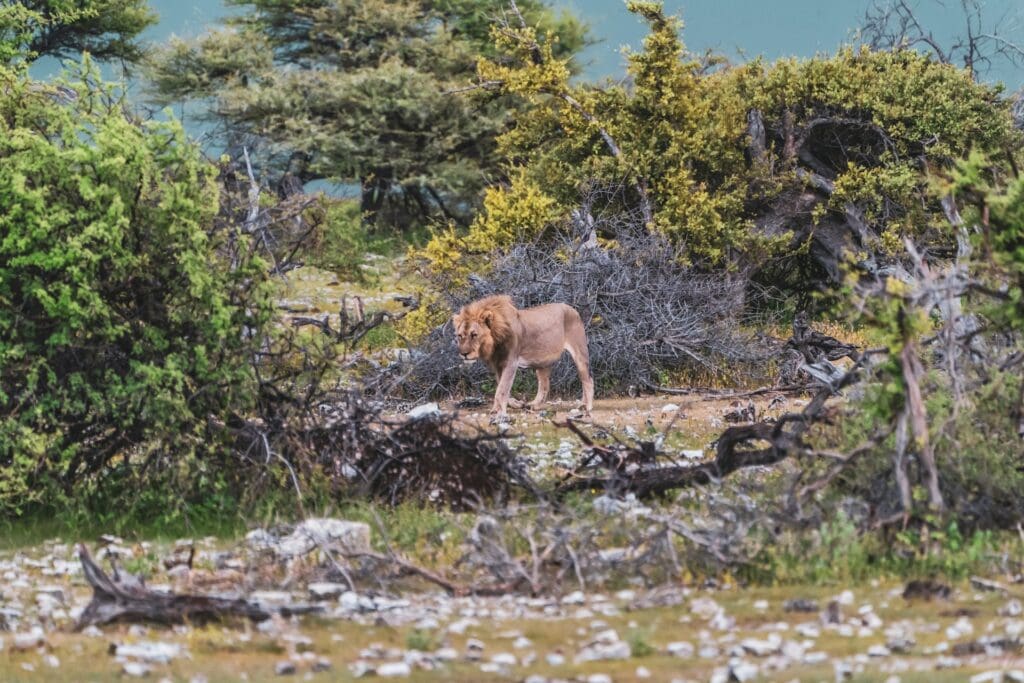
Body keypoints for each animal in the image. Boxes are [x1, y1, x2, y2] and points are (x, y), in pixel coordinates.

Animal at [453, 295, 594, 420]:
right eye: (460, 335)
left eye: (474, 334)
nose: (464, 353)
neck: (495, 341)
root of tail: (572, 308)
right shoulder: (497, 365)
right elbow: (502, 388)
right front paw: (513, 405)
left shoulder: (511, 363)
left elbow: (501, 389)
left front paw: (500, 412)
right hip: (542, 362)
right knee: (544, 385)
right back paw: (534, 405)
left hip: (580, 354)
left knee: (588, 380)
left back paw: (587, 407)